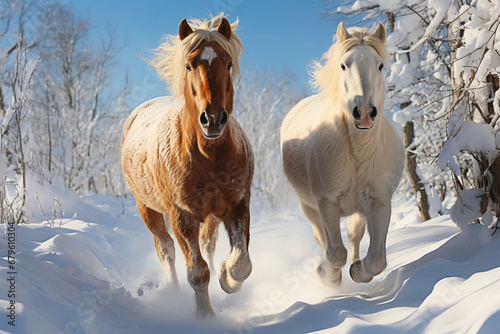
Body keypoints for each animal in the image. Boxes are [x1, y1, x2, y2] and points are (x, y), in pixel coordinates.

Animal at [120, 14, 254, 318]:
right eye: (189, 65)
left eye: (228, 63)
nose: (213, 119)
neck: (209, 156)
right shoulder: (182, 216)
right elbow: (197, 272)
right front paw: (205, 317)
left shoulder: (237, 205)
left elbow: (241, 262)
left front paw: (226, 279)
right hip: (148, 210)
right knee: (166, 251)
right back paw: (173, 292)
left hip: (211, 217)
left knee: (208, 246)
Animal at [282, 22, 402, 286]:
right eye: (344, 65)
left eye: (380, 65)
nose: (364, 113)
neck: (357, 153)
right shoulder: (327, 203)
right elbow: (335, 253)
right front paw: (328, 276)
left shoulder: (378, 202)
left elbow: (376, 260)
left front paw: (358, 271)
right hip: (309, 207)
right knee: (322, 238)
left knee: (353, 235)